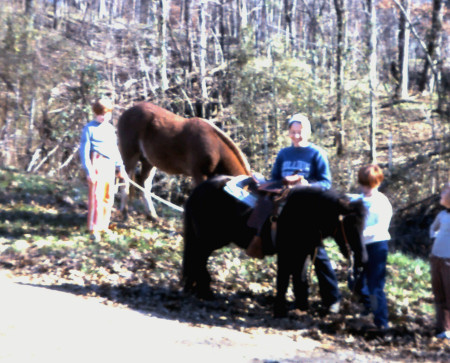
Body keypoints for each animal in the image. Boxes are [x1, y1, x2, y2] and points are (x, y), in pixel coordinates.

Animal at [118, 102, 251, 219]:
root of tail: (125, 113)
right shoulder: (199, 174)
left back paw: (152, 216)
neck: (216, 146)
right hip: (130, 157)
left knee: (144, 184)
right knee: (125, 180)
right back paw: (124, 213)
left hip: (148, 162)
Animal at [181, 177, 368, 318]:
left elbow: (300, 279)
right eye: (349, 225)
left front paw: (301, 308)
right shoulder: (286, 254)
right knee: (198, 261)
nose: (363, 259)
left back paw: (197, 291)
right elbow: (283, 281)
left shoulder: (303, 254)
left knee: (195, 262)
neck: (305, 212)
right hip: (207, 241)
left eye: (363, 225)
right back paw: (205, 293)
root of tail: (197, 190)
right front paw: (280, 311)